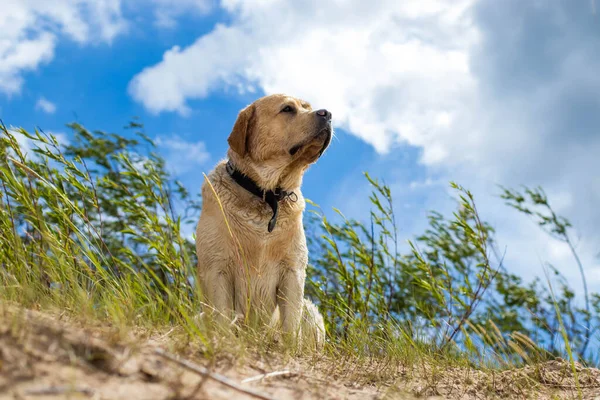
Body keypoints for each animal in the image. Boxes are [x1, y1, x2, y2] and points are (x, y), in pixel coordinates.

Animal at [196, 94, 328, 346]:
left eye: (308, 107)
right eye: (287, 109)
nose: (327, 113)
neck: (266, 195)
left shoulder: (293, 271)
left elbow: (291, 325)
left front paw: (290, 350)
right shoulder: (217, 268)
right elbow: (222, 316)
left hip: (311, 311)